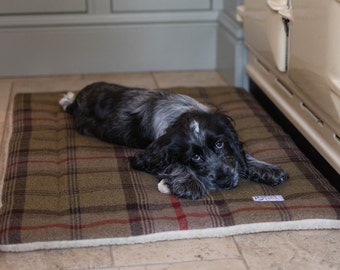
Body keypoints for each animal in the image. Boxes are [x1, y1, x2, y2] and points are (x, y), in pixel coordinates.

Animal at [59, 81, 288, 199]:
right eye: (195, 157)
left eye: (219, 144)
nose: (224, 181)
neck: (183, 112)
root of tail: (77, 99)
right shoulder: (150, 152)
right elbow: (172, 163)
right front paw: (188, 183)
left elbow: (241, 154)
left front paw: (269, 170)